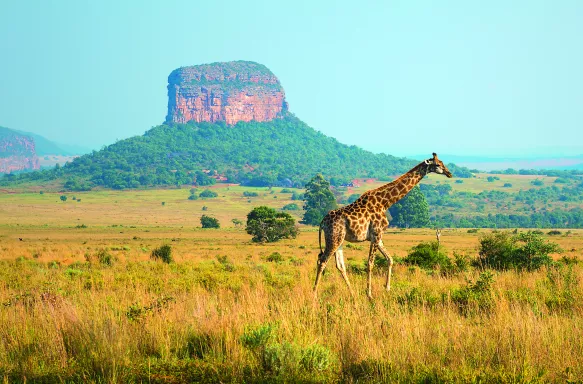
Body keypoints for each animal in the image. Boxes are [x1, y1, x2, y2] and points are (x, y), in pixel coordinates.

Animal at [312, 152, 454, 298]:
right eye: (437, 164)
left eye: (442, 162)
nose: (449, 173)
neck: (385, 202)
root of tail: (322, 222)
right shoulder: (376, 234)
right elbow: (370, 263)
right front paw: (369, 294)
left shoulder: (378, 236)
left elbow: (390, 259)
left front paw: (387, 288)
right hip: (334, 238)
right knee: (322, 261)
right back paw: (314, 294)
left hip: (339, 239)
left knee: (340, 265)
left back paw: (352, 293)